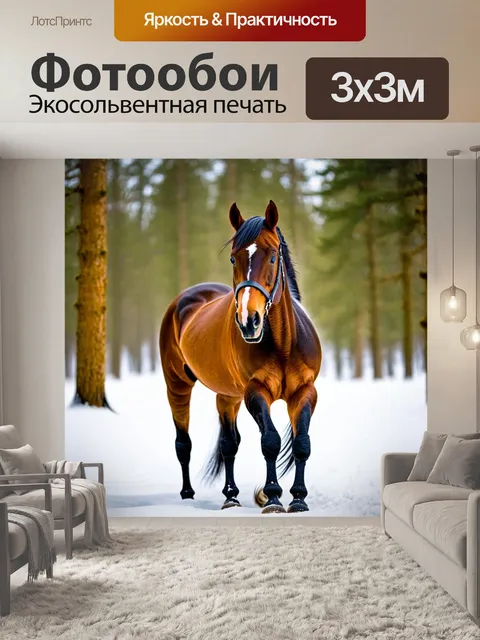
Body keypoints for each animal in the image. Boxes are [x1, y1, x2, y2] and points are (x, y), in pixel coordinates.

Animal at [159, 200, 322, 513]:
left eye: (273, 257)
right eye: (234, 259)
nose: (249, 321)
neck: (283, 344)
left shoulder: (304, 392)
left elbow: (302, 443)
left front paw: (298, 498)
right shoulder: (255, 392)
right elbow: (270, 441)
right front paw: (273, 497)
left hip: (227, 396)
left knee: (228, 444)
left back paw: (231, 496)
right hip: (178, 384)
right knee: (183, 443)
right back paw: (187, 494)